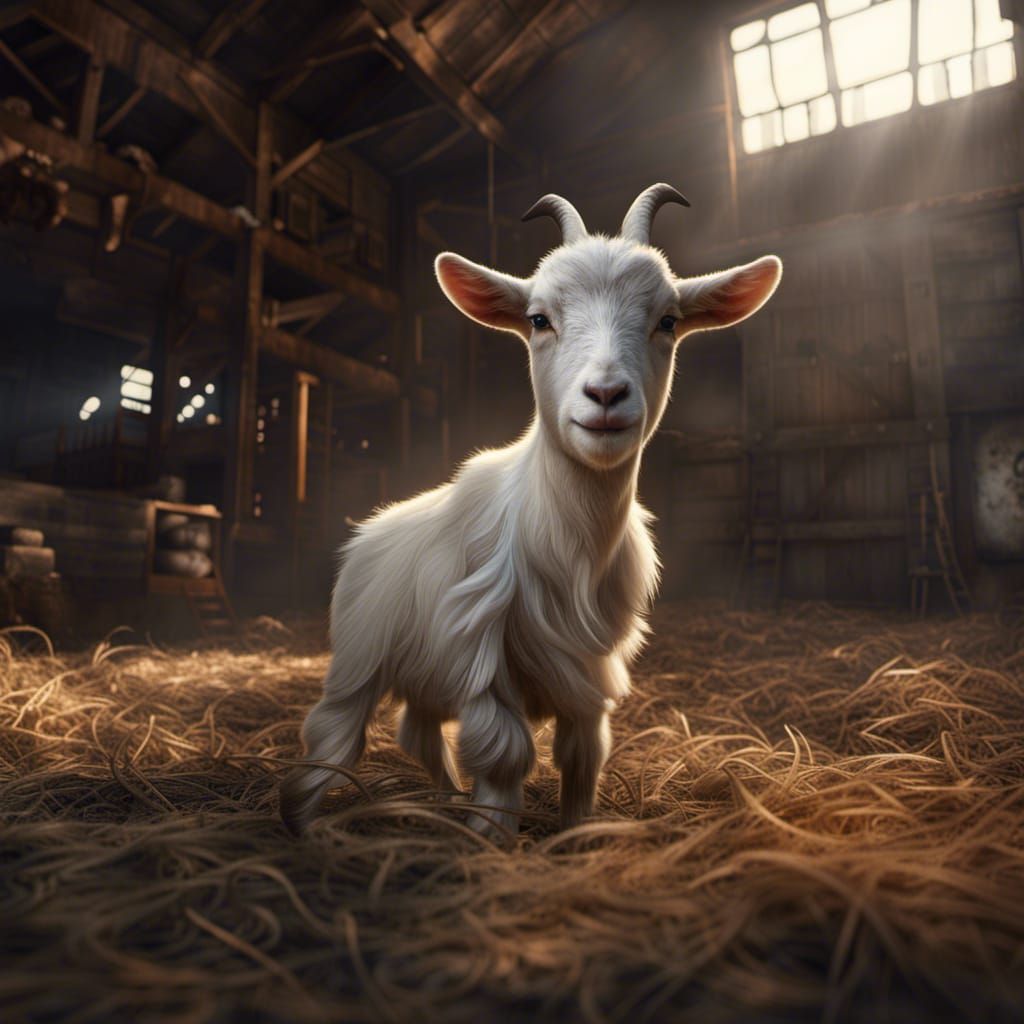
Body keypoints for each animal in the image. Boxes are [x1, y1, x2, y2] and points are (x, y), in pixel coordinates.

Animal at [279, 184, 782, 837]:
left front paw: (575, 827)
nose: (605, 395)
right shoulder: (480, 655)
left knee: (418, 731)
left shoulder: (590, 666)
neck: (569, 541)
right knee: (334, 733)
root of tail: (367, 531)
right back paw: (305, 817)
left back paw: (444, 798)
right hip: (359, 657)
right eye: (539, 320)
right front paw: (491, 835)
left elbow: (584, 753)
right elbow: (505, 753)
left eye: (668, 321)